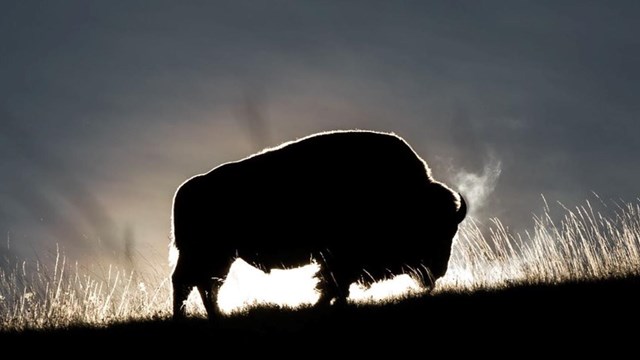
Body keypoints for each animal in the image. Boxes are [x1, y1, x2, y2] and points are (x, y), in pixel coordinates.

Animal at [170, 129, 464, 320]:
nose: (438, 270)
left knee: (203, 284)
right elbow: (332, 283)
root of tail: (186, 189)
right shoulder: (340, 257)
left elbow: (336, 285)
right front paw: (322, 307)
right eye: (435, 230)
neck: (407, 194)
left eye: (451, 231)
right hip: (207, 254)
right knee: (190, 282)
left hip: (219, 257)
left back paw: (213, 317)